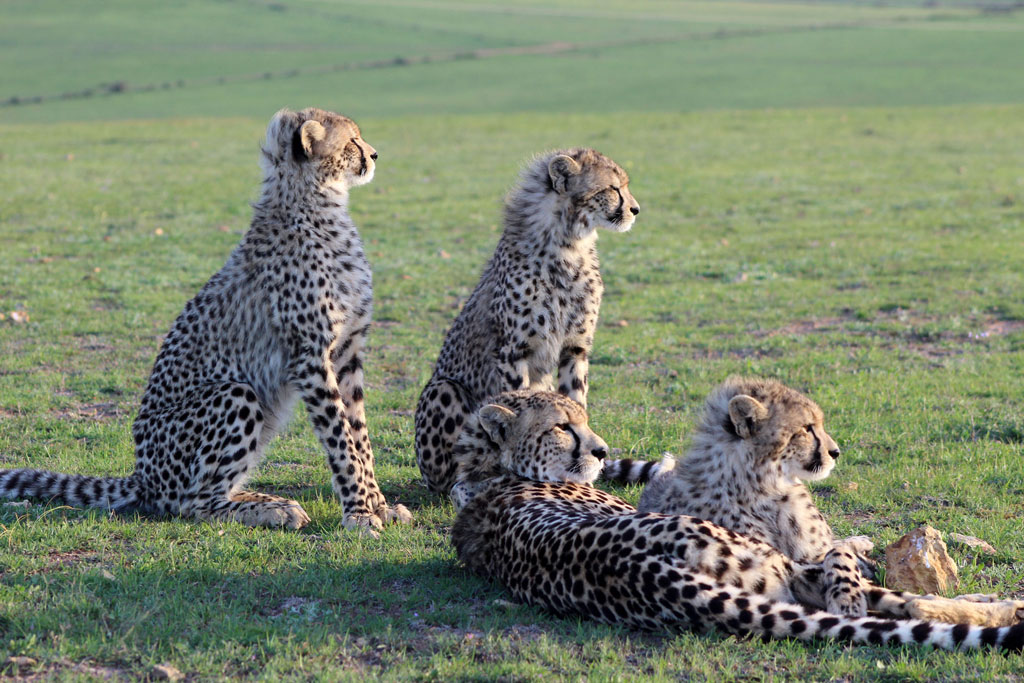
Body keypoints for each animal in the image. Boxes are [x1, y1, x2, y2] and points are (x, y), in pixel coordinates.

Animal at [0, 107, 411, 535]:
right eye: (351, 141)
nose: (374, 155)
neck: (315, 201)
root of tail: (143, 476)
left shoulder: (347, 351)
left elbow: (360, 434)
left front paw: (378, 505)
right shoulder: (310, 357)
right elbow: (341, 439)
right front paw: (359, 513)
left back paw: (262, 500)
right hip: (236, 393)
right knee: (192, 503)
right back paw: (271, 509)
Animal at [415, 148, 640, 496]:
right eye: (613, 188)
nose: (635, 209)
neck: (569, 244)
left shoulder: (575, 348)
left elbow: (576, 398)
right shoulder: (513, 350)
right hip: (443, 388)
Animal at [450, 390, 1024, 650]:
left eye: (584, 421)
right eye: (562, 427)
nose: (600, 449)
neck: (499, 472)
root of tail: (654, 576)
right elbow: (848, 558)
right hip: (784, 573)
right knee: (890, 598)